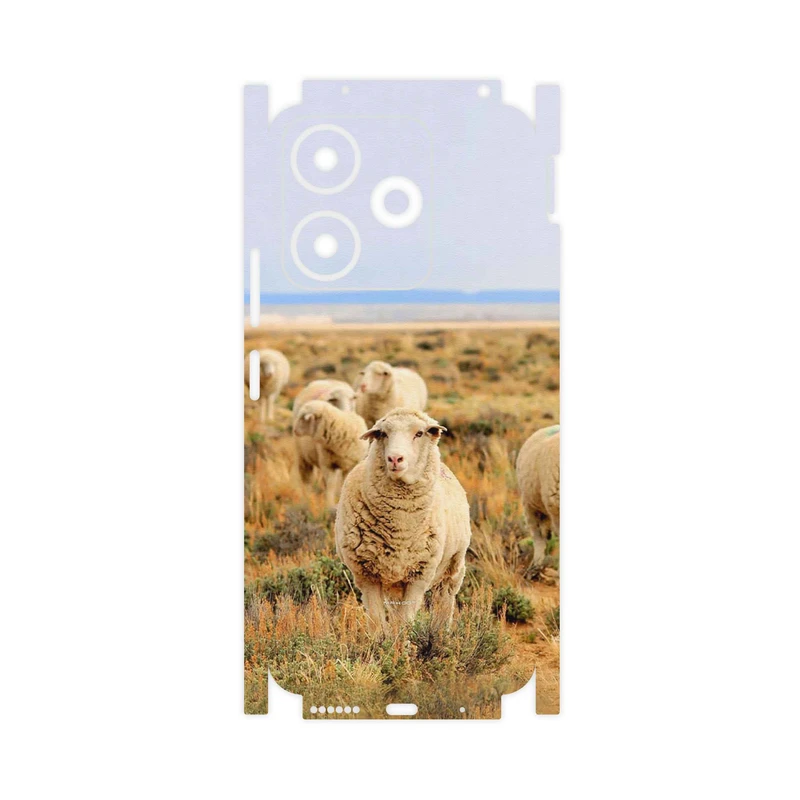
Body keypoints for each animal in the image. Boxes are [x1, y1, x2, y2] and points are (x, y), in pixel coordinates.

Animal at [335, 408, 471, 635]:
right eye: (383, 434)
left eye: (419, 433)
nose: (395, 458)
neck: (400, 528)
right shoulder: (366, 575)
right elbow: (377, 622)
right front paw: (382, 642)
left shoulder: (419, 575)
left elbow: (405, 622)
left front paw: (403, 642)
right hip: (393, 582)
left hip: (453, 566)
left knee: (444, 600)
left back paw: (440, 633)